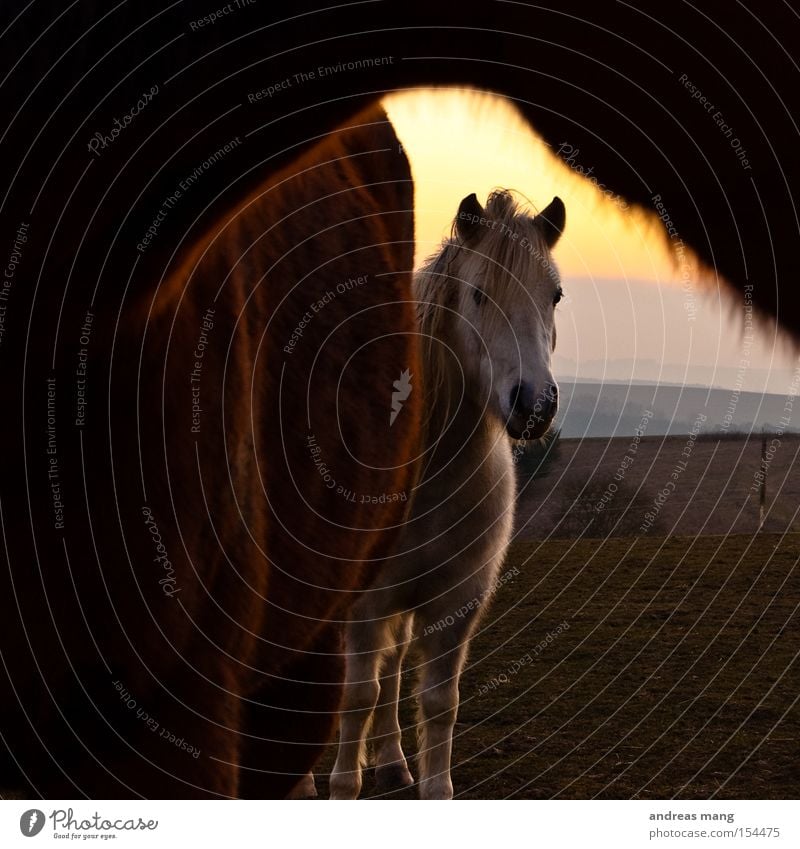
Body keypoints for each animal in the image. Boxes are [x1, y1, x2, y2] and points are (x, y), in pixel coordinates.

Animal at [324, 189, 564, 800]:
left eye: (554, 295)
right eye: (479, 294)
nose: (534, 405)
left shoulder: (457, 603)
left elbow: (437, 702)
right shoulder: (365, 605)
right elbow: (357, 696)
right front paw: (341, 784)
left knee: (392, 668)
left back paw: (392, 763)